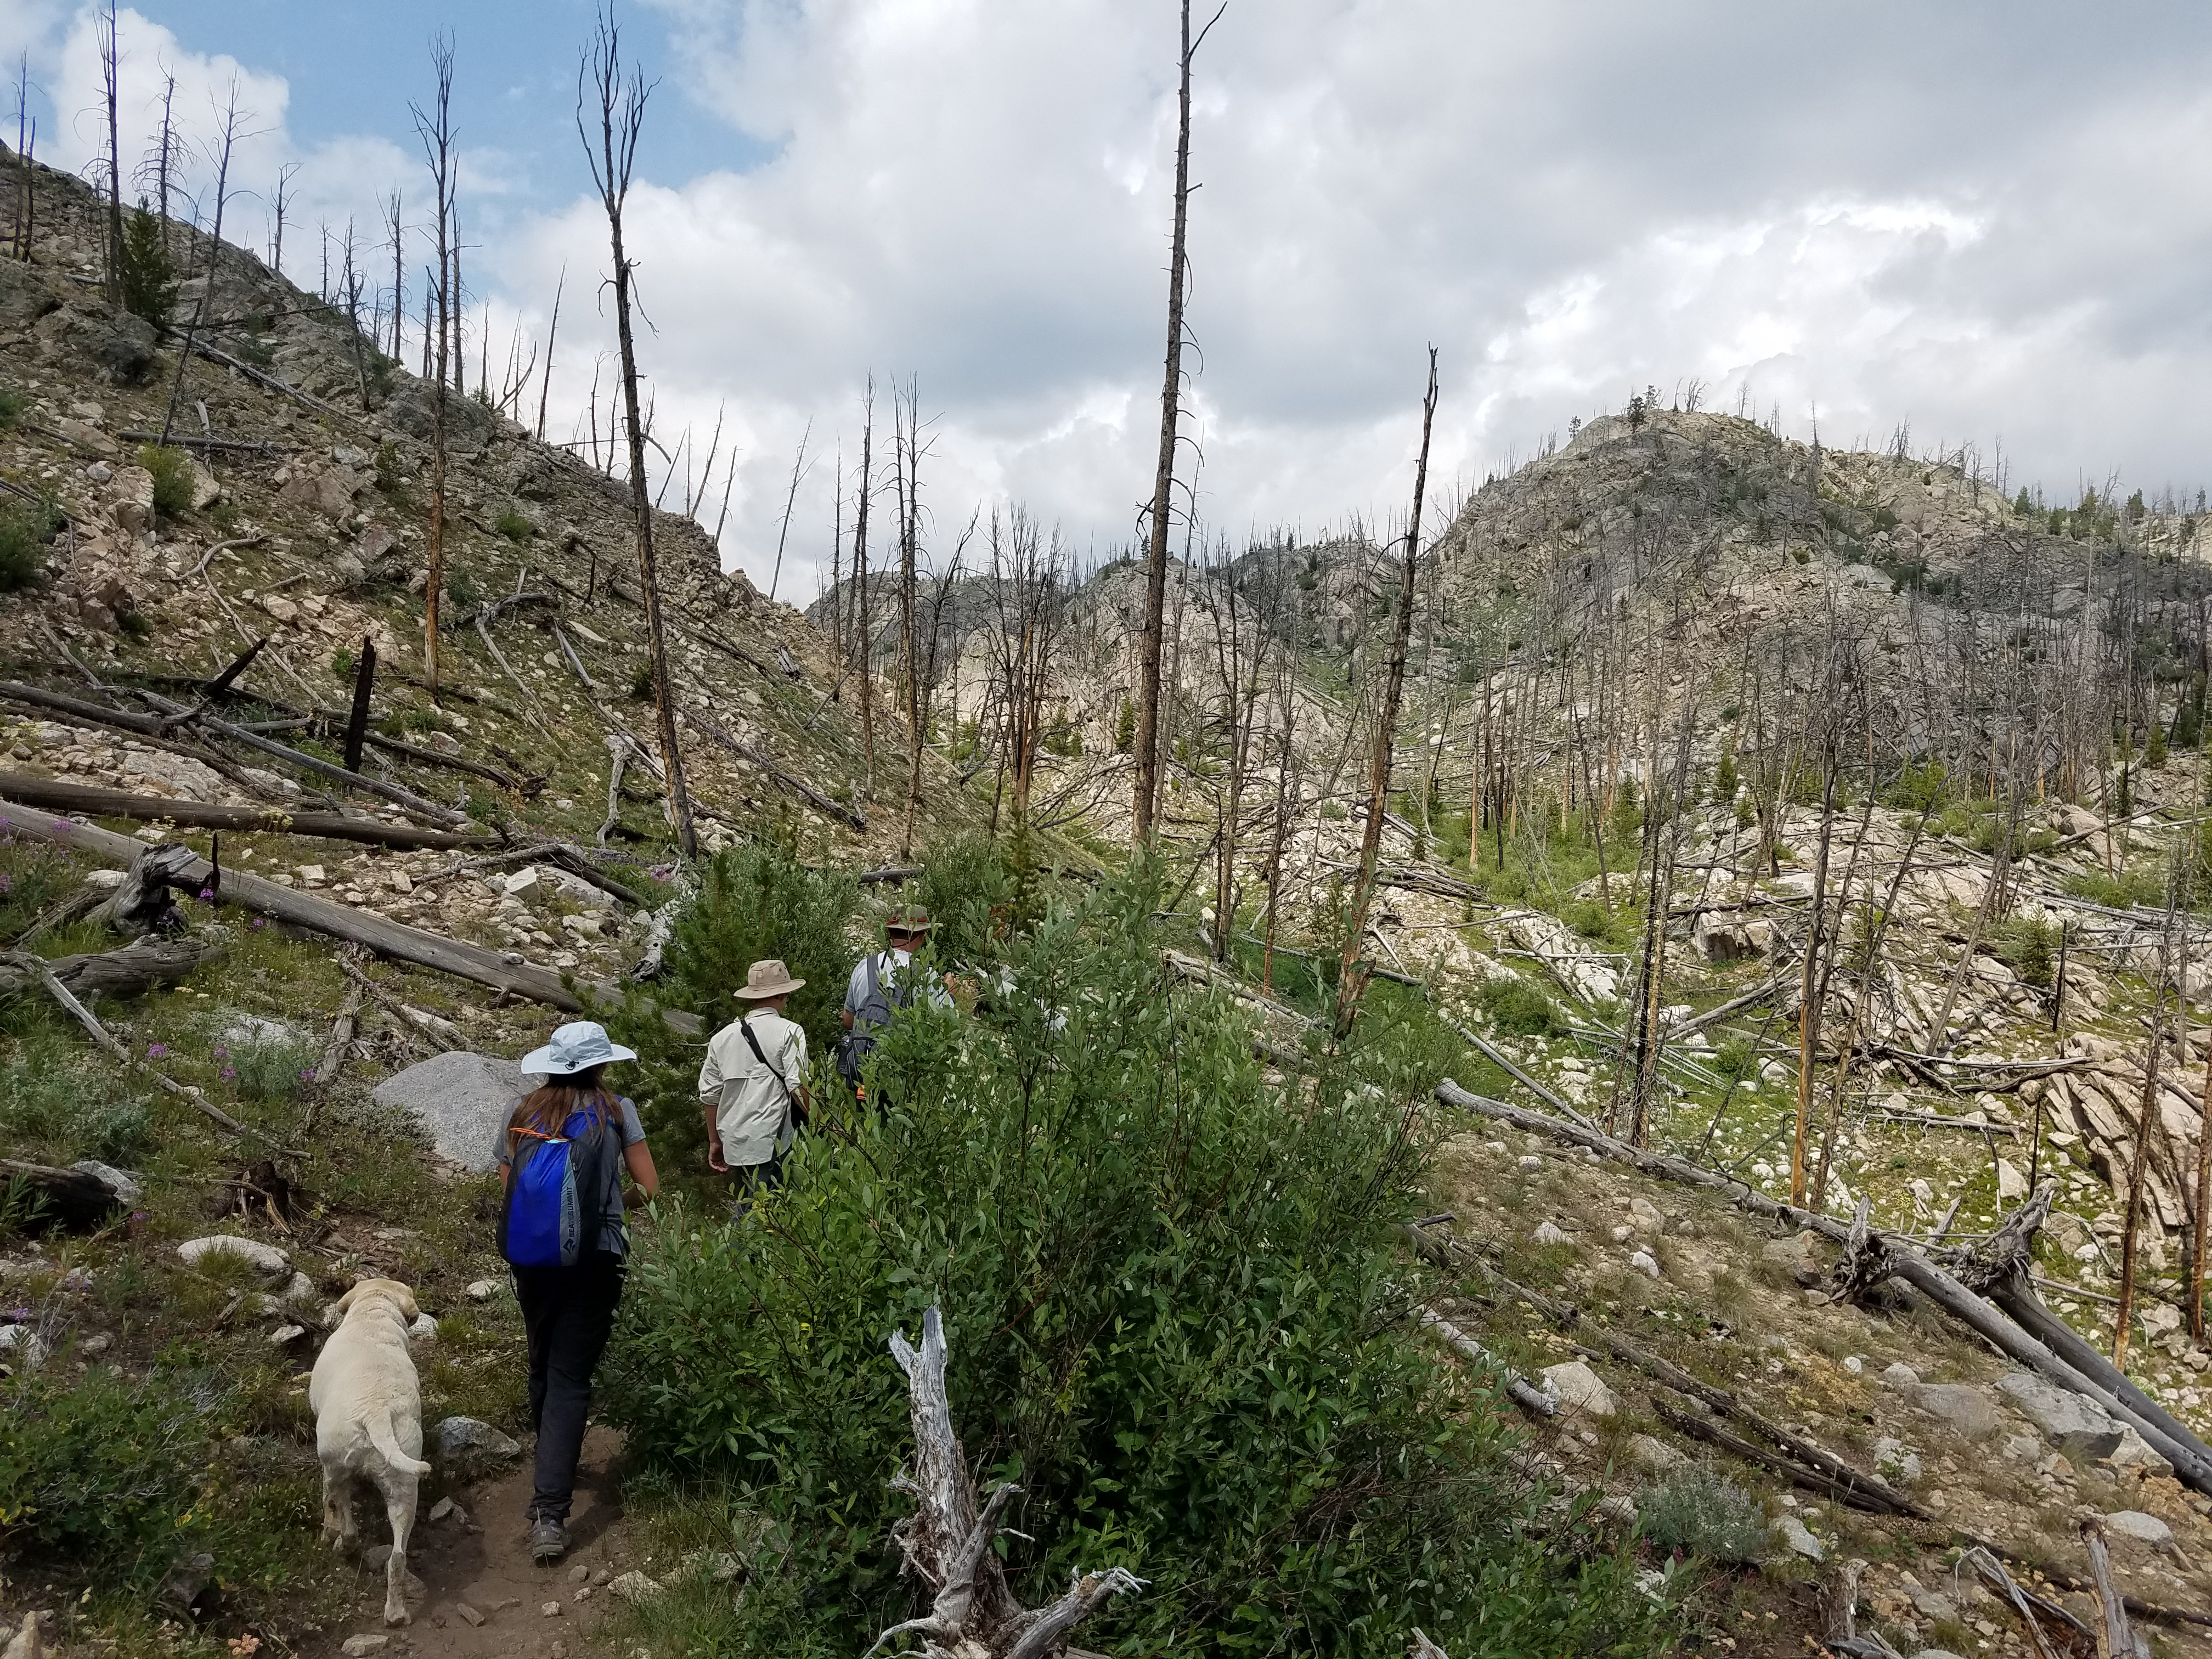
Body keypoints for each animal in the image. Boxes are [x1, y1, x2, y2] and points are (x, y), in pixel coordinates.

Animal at [312, 1283, 431, 1628]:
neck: (374, 1312)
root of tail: (376, 1413)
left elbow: (328, 1504)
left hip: (337, 1468)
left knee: (344, 1518)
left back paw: (339, 1543)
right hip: (405, 1488)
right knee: (398, 1558)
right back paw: (395, 1614)